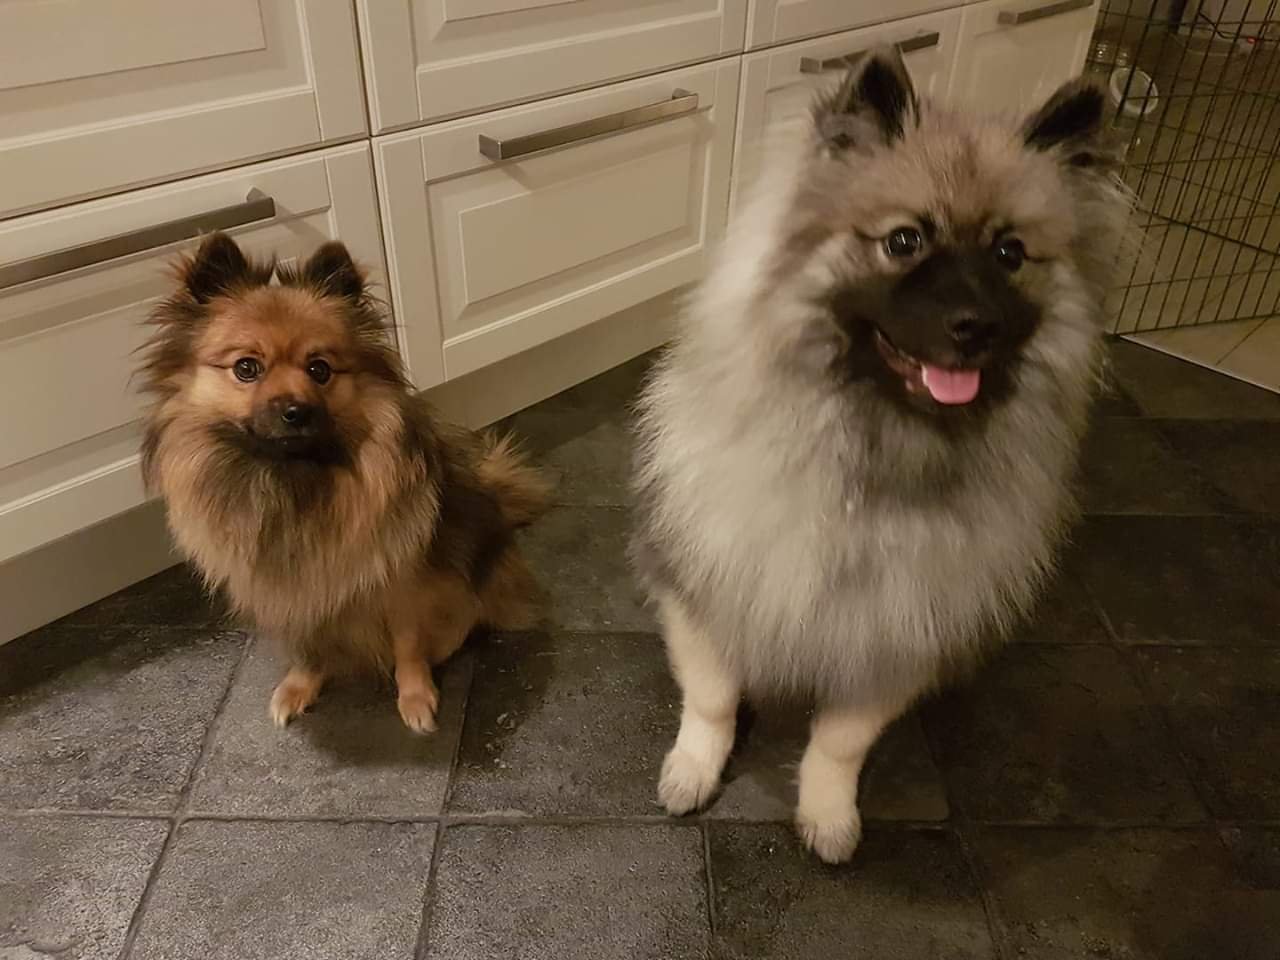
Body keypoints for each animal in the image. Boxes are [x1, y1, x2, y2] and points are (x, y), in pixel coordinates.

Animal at [138, 233, 550, 732]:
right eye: (246, 368)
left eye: (320, 369)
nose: (296, 411)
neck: (294, 484)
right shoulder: (294, 595)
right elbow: (307, 648)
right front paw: (300, 686)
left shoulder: (405, 581)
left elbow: (409, 645)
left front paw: (416, 698)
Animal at [631, 49, 1133, 862]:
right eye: (904, 241)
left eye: (1010, 254)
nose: (974, 325)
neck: (881, 448)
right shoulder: (708, 583)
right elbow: (711, 697)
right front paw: (692, 770)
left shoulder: (899, 630)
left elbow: (841, 741)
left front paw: (829, 815)